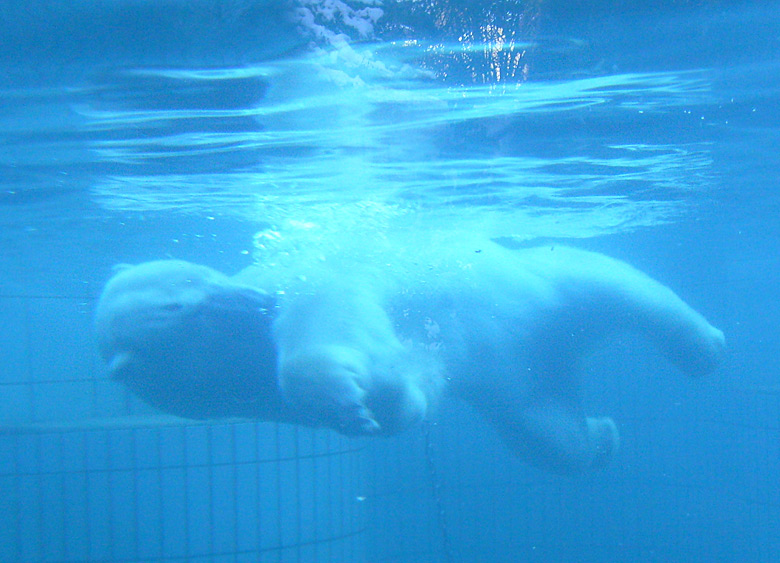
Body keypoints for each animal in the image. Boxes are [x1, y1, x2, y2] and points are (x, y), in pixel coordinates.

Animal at [96, 242, 724, 476]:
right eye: (177, 301)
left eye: (194, 275)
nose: (247, 294)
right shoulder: (237, 389)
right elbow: (408, 389)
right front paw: (370, 403)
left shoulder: (306, 279)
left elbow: (334, 316)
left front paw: (356, 397)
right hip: (517, 375)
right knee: (548, 433)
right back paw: (604, 435)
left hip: (532, 284)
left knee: (612, 283)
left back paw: (705, 348)